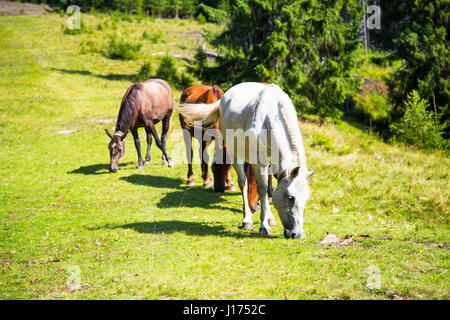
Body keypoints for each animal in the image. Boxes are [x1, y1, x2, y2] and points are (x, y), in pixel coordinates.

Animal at [176, 82, 312, 238]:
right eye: (291, 197)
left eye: (305, 198)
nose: (297, 234)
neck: (269, 116)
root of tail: (225, 97)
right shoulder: (259, 163)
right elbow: (262, 189)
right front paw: (263, 225)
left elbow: (268, 188)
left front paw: (269, 218)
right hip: (235, 154)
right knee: (243, 182)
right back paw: (247, 220)